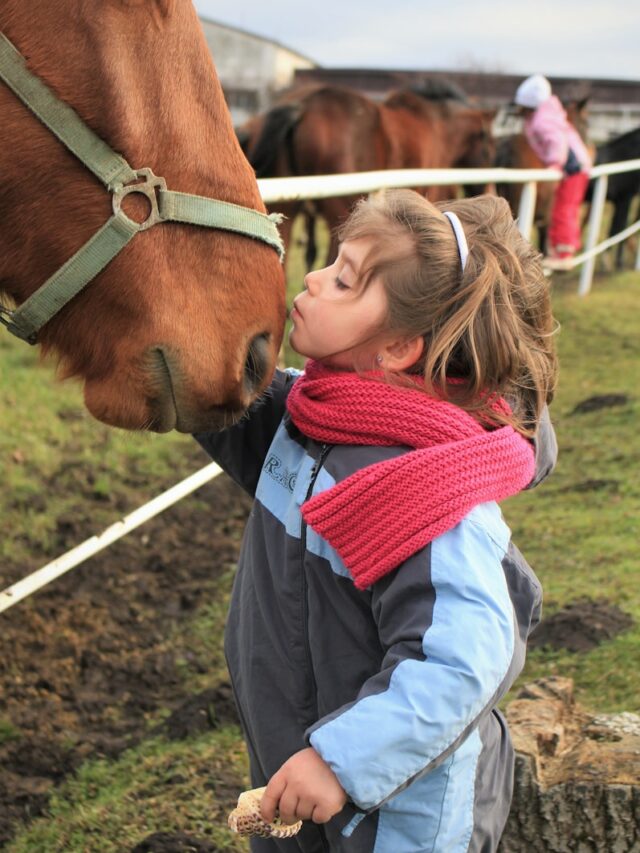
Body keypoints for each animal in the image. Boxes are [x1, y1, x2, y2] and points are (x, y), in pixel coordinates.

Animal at [240, 79, 496, 268]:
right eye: (489, 148)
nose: (488, 191)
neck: (437, 126)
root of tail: (302, 105)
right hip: (339, 213)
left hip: (289, 210)